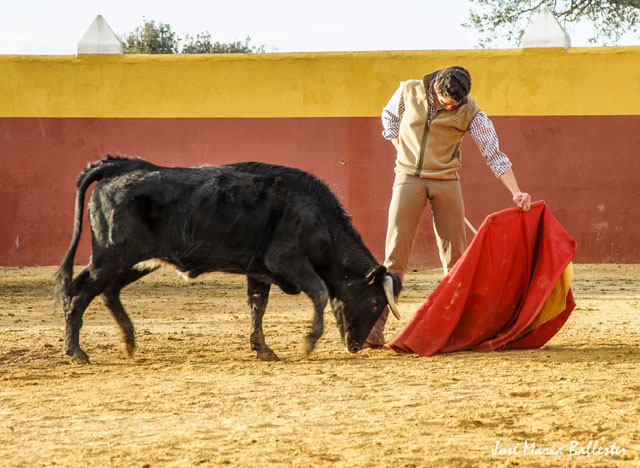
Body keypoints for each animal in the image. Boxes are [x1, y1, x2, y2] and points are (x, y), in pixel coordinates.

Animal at [55, 157, 400, 362]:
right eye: (374, 303)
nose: (355, 346)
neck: (316, 215)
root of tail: (119, 167)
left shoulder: (259, 271)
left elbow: (257, 306)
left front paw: (263, 349)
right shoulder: (286, 261)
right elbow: (319, 292)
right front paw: (308, 342)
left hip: (136, 260)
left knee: (109, 292)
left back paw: (127, 341)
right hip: (111, 255)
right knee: (79, 292)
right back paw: (76, 352)